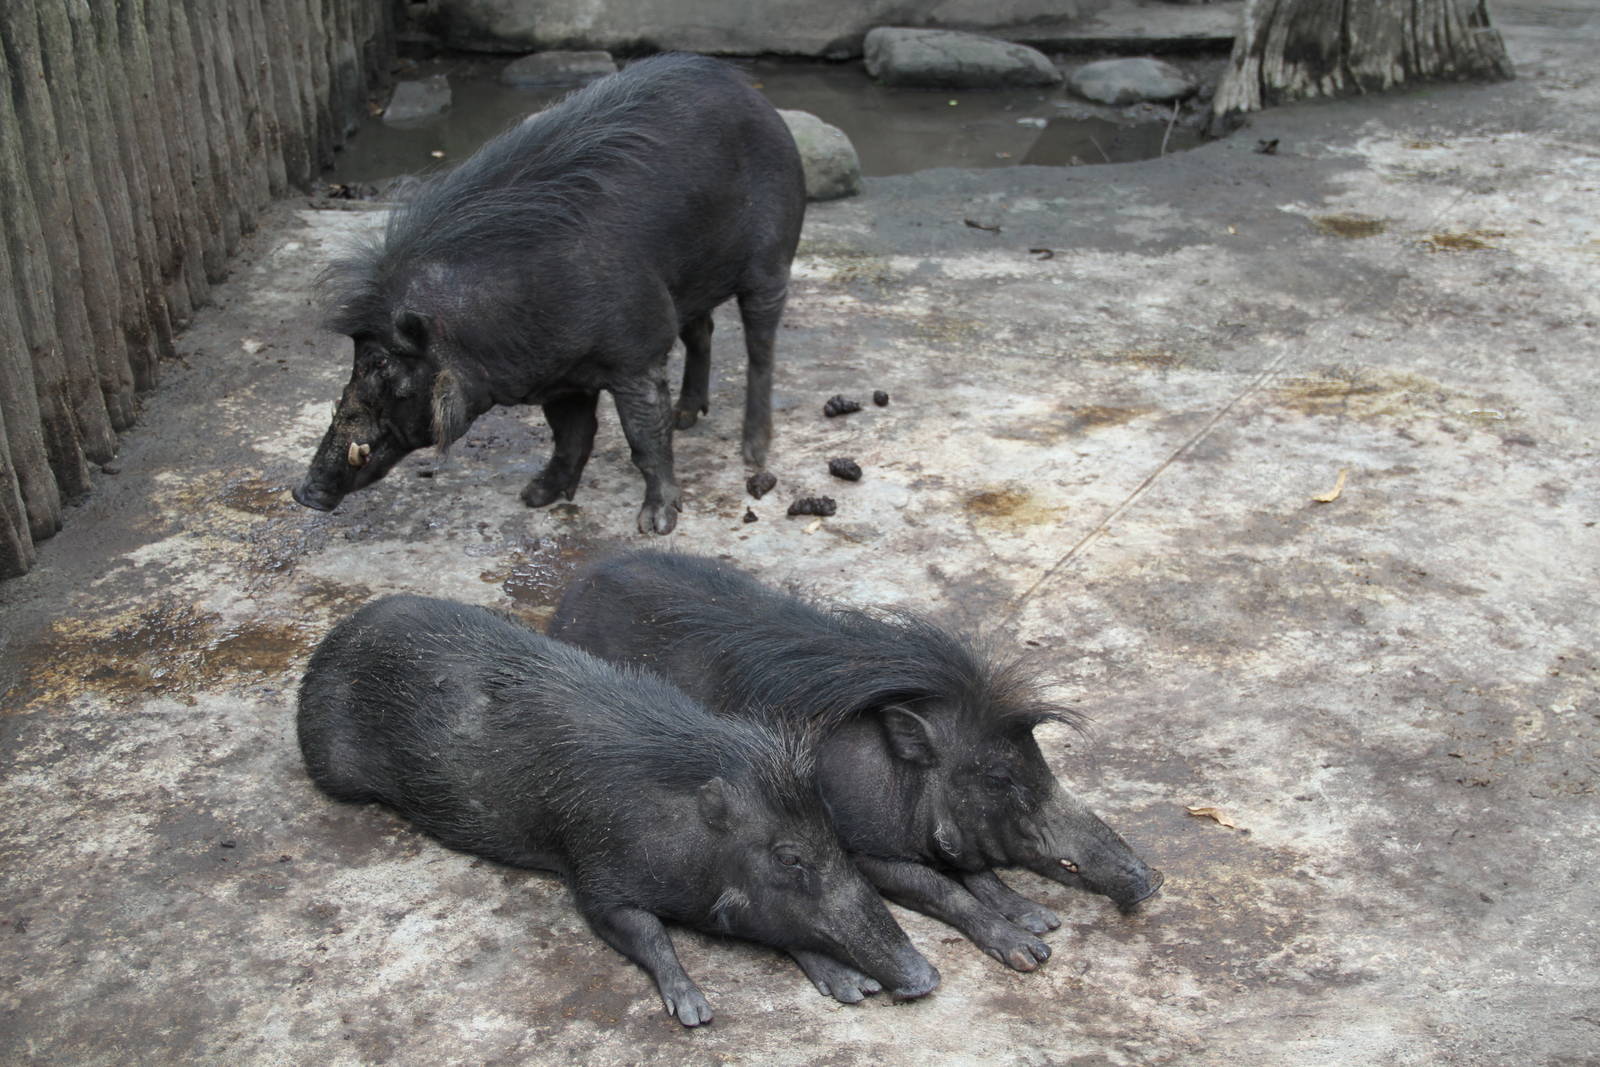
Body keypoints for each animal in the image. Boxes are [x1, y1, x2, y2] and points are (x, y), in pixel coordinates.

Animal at [292, 54, 806, 534]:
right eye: (356, 356)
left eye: (384, 365)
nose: (304, 493)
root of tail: (752, 92)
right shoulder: (561, 379)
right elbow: (571, 436)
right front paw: (535, 497)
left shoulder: (636, 357)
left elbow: (645, 438)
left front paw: (656, 525)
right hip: (690, 285)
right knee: (703, 332)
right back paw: (686, 416)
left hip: (772, 262)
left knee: (761, 349)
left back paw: (753, 453)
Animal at [297, 594, 938, 1025]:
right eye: (789, 857)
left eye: (833, 834)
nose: (927, 978)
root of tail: (338, 632)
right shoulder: (593, 871)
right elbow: (644, 931)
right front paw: (696, 1012)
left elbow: (771, 924)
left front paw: (852, 989)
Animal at [548, 550, 1163, 977]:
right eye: (999, 777)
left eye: (1038, 757)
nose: (1153, 880)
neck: (895, 775)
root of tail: (575, 588)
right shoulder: (861, 849)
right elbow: (944, 890)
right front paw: (1033, 953)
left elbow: (975, 872)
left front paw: (1041, 922)